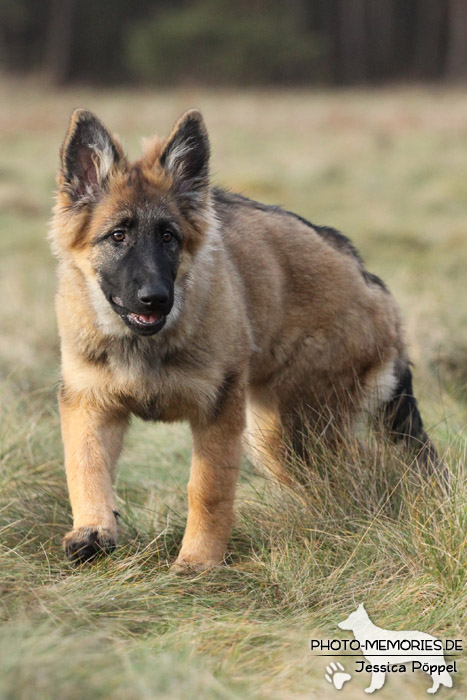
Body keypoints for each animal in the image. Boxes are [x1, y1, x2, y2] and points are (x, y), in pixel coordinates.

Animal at [51, 109, 438, 568]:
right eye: (117, 235)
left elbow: (207, 490)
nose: (156, 299)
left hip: (291, 432)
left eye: (169, 237)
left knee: (366, 469)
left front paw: (197, 562)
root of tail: (373, 283)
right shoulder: (90, 403)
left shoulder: (218, 413)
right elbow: (86, 468)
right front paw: (93, 531)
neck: (145, 345)